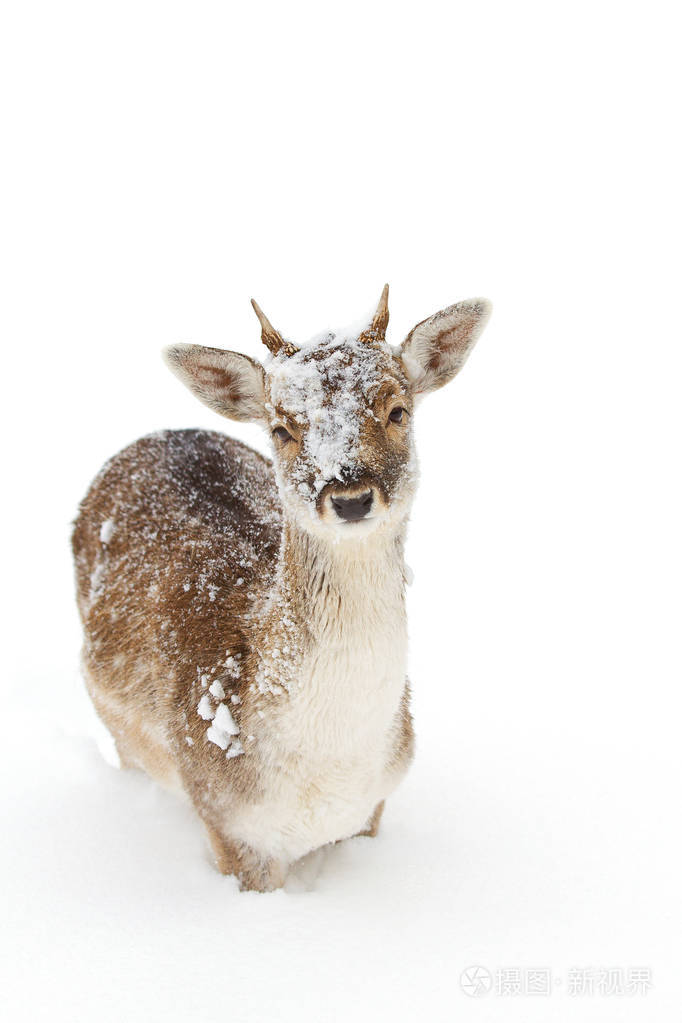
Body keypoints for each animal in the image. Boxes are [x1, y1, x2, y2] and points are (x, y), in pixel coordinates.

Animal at [72, 286, 491, 891]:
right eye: (281, 429)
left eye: (397, 410)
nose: (350, 497)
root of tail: (160, 433)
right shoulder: (225, 817)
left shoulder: (374, 805)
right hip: (122, 733)